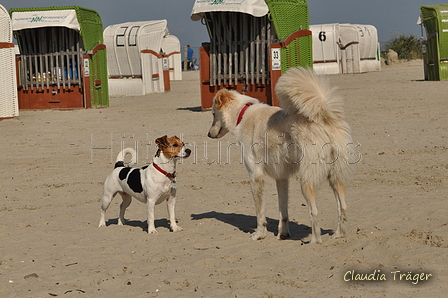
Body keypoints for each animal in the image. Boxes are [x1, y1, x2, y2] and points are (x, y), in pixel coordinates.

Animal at [208, 66, 356, 243]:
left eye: (213, 114)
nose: (209, 134)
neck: (242, 114)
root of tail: (323, 119)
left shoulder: (255, 176)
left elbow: (260, 214)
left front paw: (259, 234)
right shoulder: (281, 178)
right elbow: (283, 211)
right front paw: (283, 234)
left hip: (307, 181)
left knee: (314, 211)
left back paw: (315, 241)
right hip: (336, 178)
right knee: (343, 207)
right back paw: (338, 234)